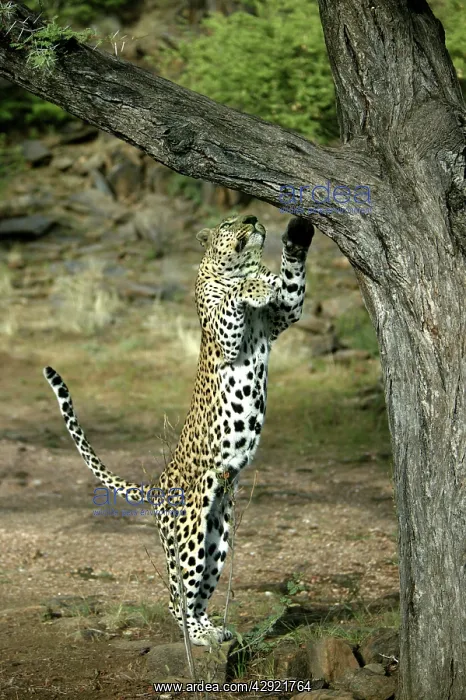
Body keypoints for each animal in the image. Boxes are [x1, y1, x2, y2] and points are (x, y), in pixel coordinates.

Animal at [43, 214, 314, 646]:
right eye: (229, 221)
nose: (253, 218)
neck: (241, 267)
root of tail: (158, 485)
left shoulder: (285, 312)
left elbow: (288, 282)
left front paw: (298, 234)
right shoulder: (223, 328)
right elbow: (233, 298)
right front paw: (252, 287)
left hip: (217, 538)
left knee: (199, 590)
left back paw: (212, 630)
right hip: (188, 534)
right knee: (176, 597)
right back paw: (197, 636)